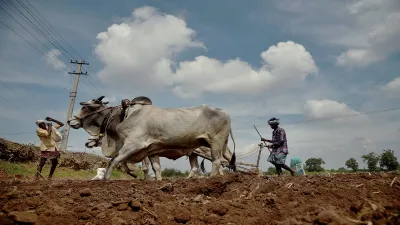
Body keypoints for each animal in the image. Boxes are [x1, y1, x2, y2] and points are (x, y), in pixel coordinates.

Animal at [67, 96, 236, 180]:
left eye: (86, 107)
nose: (70, 121)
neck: (124, 115)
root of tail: (225, 113)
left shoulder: (133, 144)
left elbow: (114, 160)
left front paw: (106, 180)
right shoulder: (152, 151)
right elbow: (156, 168)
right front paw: (157, 182)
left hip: (214, 143)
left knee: (217, 161)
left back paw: (212, 180)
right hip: (213, 146)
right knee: (225, 161)